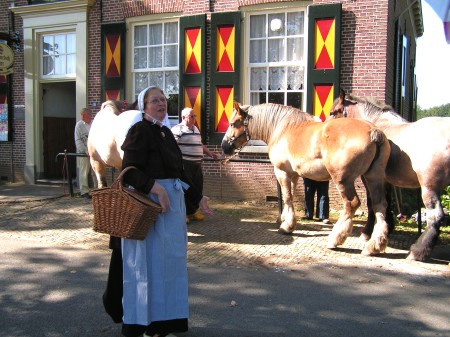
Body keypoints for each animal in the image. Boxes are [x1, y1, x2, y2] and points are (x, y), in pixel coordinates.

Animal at [326, 89, 450, 260]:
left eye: (333, 112)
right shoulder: (386, 180)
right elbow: (385, 201)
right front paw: (388, 227)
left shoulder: (369, 178)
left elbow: (372, 203)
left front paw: (367, 233)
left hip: (429, 188)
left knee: (436, 216)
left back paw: (417, 251)